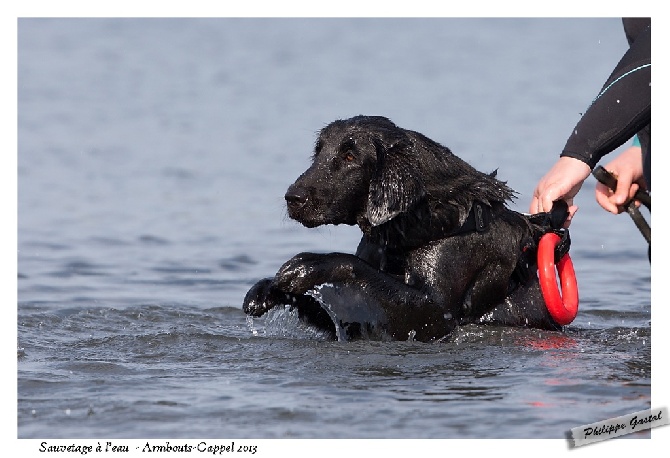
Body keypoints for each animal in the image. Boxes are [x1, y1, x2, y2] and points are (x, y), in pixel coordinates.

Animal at [244, 116, 564, 342]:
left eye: (350, 157)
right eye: (319, 152)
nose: (292, 197)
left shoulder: (437, 316)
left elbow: (351, 264)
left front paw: (307, 264)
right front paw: (267, 288)